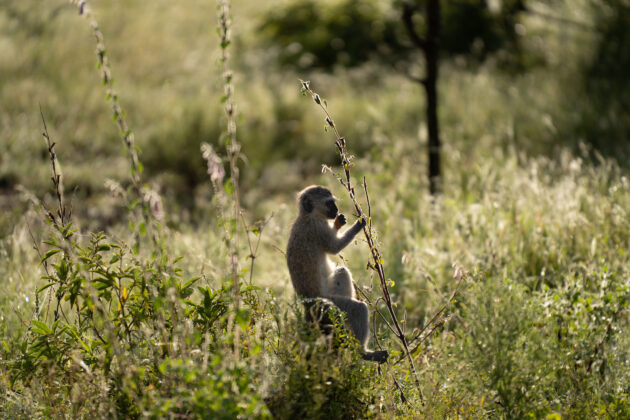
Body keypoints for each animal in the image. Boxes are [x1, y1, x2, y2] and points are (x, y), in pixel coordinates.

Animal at [288, 185, 390, 362]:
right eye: (329, 203)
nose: (336, 210)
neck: (307, 216)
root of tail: (307, 305)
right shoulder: (318, 229)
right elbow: (335, 248)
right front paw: (359, 223)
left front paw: (338, 223)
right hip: (330, 306)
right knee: (358, 309)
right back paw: (363, 352)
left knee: (342, 271)